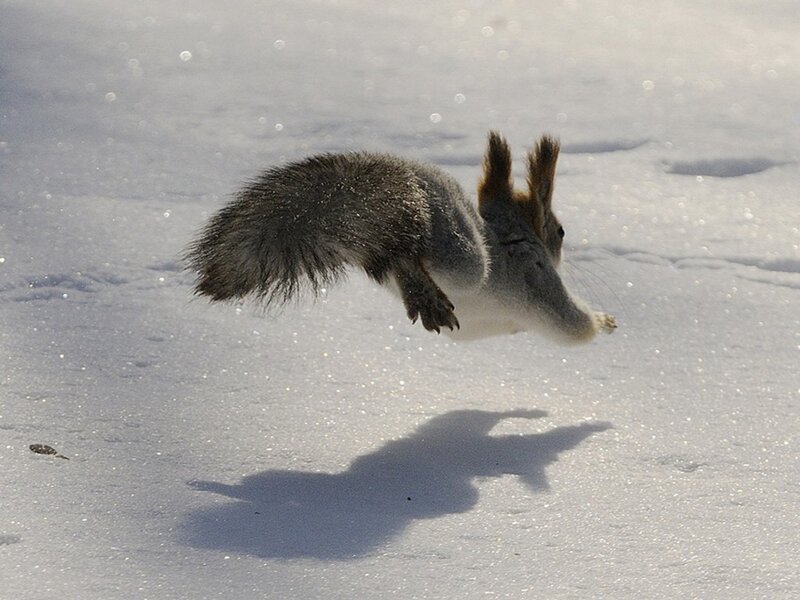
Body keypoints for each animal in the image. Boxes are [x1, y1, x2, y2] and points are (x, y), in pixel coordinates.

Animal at [185, 131, 616, 342]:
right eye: (560, 231)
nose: (563, 247)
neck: (513, 234)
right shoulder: (537, 274)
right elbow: (572, 325)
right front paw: (602, 319)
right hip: (463, 257)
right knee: (405, 253)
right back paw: (423, 293)